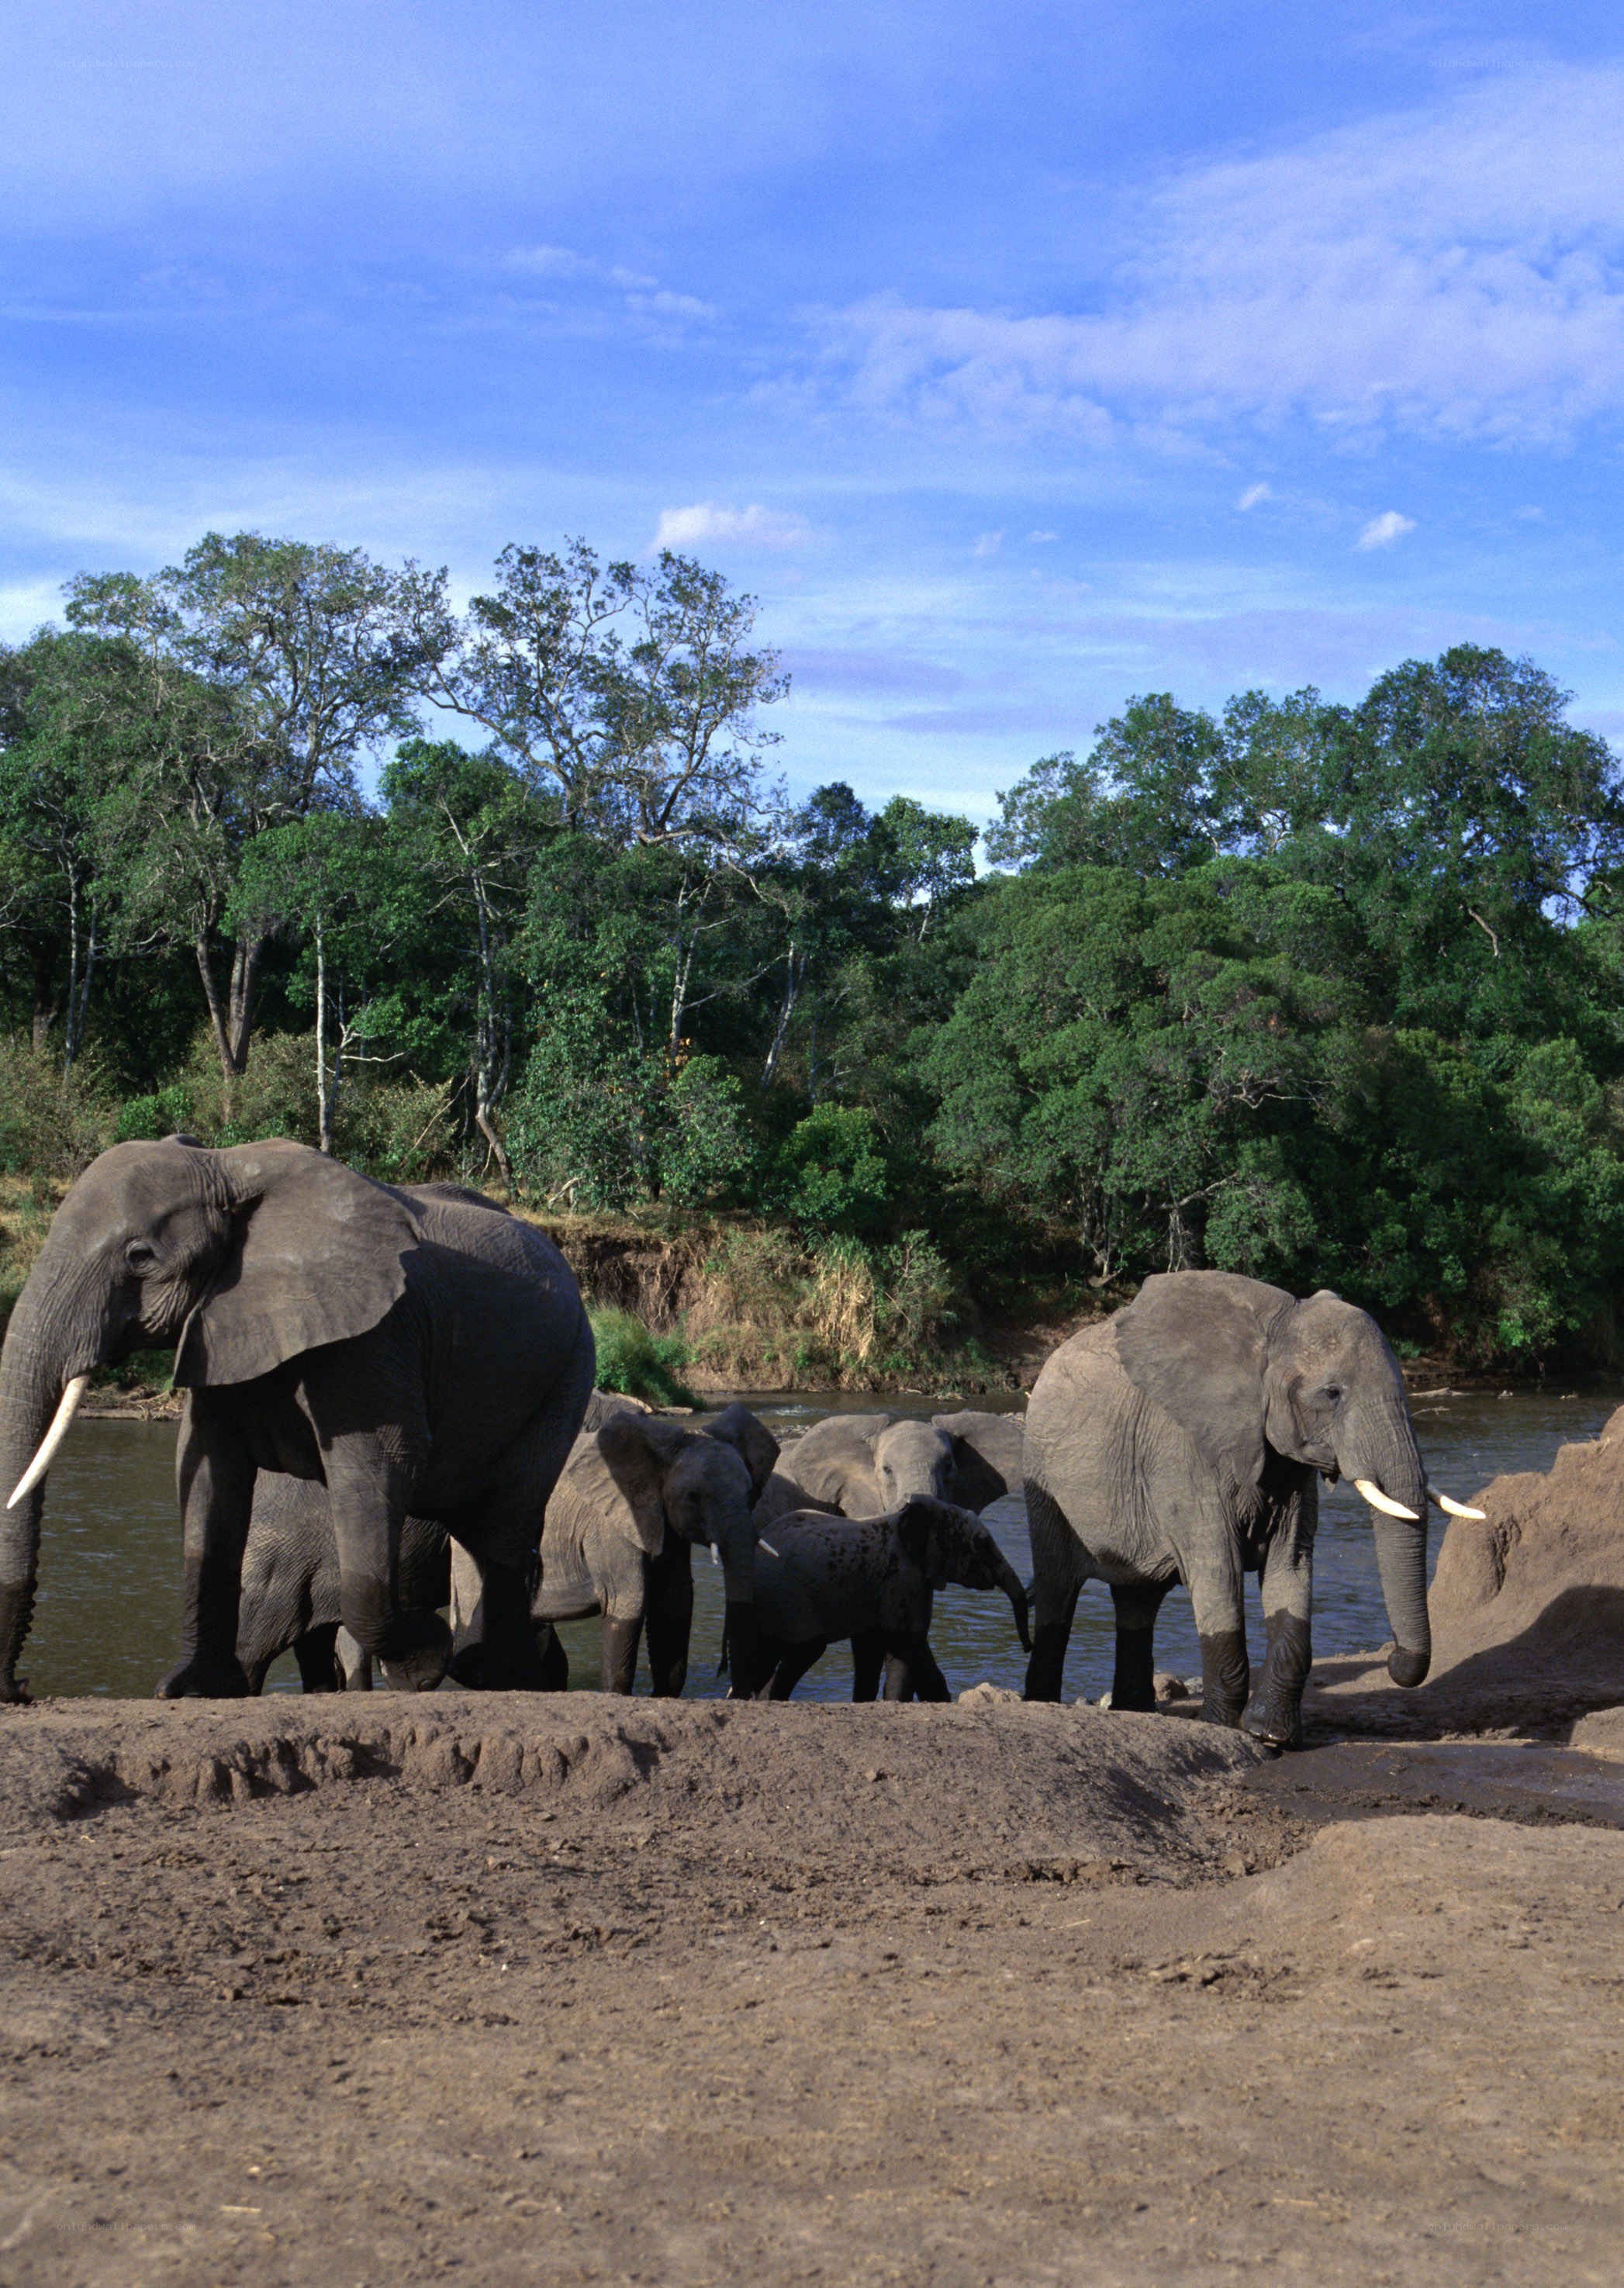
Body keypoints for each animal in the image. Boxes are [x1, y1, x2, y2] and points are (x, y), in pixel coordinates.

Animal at [0, 1138, 595, 1701]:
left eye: (139, 1256)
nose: (20, 1689)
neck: (224, 1166)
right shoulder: (221, 1324)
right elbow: (212, 1476)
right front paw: (195, 1690)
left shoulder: (374, 1338)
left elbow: (378, 1467)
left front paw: (422, 1661)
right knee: (478, 1533)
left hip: (567, 1374)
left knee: (504, 1526)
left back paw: (500, 1677)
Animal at [452, 1400, 781, 1695]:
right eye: (693, 1496)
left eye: (750, 1493)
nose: (724, 1671)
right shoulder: (610, 1525)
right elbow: (627, 1600)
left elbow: (674, 1603)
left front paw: (662, 1695)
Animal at [743, 1496, 1031, 1701]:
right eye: (983, 1545)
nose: (1028, 1648)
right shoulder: (903, 1579)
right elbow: (906, 1643)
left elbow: (872, 1649)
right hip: (787, 1595)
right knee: (805, 1649)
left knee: (763, 1653)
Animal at [1021, 1271, 1484, 1745]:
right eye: (1332, 1394)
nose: (1394, 1661)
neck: (1271, 1332)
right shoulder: (1182, 1451)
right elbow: (1217, 1568)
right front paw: (1218, 1727)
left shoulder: (1288, 1465)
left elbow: (1290, 1565)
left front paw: (1270, 1735)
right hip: (1044, 1482)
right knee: (1058, 1591)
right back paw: (1043, 1701)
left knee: (1137, 1601)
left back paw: (1137, 1711)